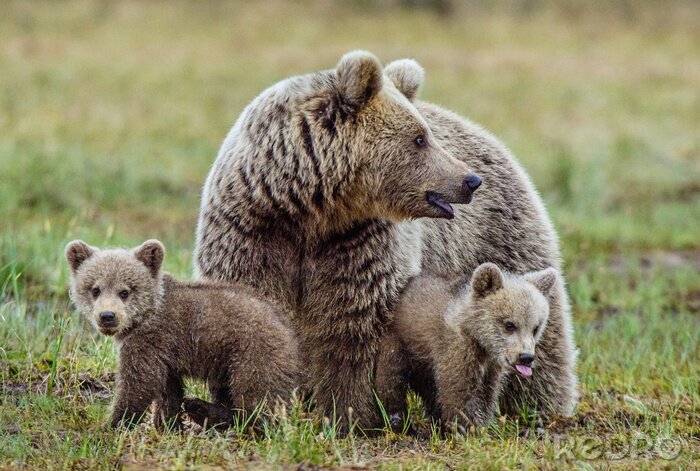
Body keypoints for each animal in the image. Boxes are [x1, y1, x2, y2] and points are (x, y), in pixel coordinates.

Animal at [65, 239, 299, 429]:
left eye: (125, 291)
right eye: (95, 289)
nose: (107, 316)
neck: (145, 316)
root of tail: (288, 329)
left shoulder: (150, 339)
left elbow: (139, 384)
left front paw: (109, 424)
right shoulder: (164, 353)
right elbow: (168, 389)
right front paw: (167, 422)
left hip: (253, 352)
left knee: (255, 394)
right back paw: (202, 409)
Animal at [375, 263, 557, 432]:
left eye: (536, 327)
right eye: (509, 324)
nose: (526, 357)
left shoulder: (491, 368)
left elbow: (486, 395)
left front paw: (481, 424)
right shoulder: (456, 350)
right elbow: (458, 391)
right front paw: (466, 428)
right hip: (398, 343)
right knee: (391, 381)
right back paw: (399, 422)